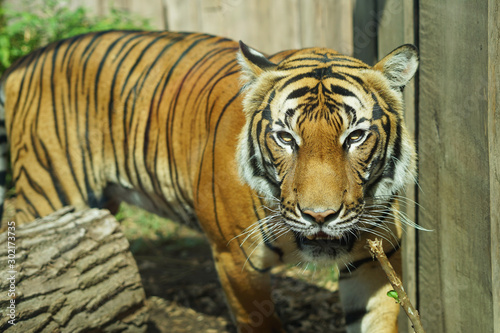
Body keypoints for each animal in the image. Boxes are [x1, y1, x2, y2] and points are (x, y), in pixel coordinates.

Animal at [0, 31, 418, 332]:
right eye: (286, 138)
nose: (320, 216)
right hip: (49, 190)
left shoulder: (375, 259)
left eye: (355, 137)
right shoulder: (236, 261)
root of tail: (27, 59)